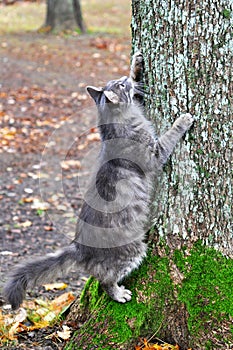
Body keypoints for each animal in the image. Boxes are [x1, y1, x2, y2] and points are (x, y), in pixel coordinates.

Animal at [3, 52, 194, 308]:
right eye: (121, 85)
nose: (123, 78)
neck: (114, 125)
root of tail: (79, 247)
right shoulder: (154, 154)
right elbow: (169, 136)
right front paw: (182, 120)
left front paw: (136, 64)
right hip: (133, 250)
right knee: (105, 280)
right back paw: (119, 294)